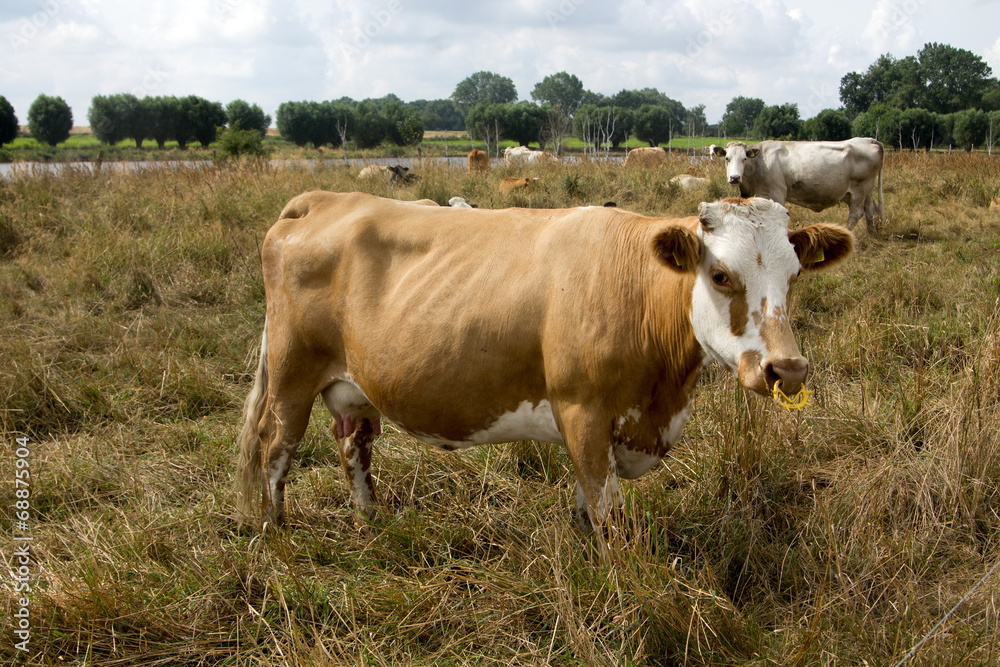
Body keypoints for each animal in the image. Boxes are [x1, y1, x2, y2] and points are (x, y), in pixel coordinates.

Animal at [234, 189, 852, 544]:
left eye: (795, 274)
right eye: (721, 275)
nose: (786, 369)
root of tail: (324, 198)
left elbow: (585, 511)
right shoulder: (583, 411)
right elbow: (608, 515)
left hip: (355, 385)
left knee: (353, 447)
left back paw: (372, 524)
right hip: (291, 375)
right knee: (274, 451)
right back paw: (274, 535)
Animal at [712, 137, 884, 231]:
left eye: (744, 159)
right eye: (727, 158)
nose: (735, 178)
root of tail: (868, 140)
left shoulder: (777, 194)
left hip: (860, 190)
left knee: (856, 214)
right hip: (867, 190)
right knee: (870, 210)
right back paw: (871, 235)